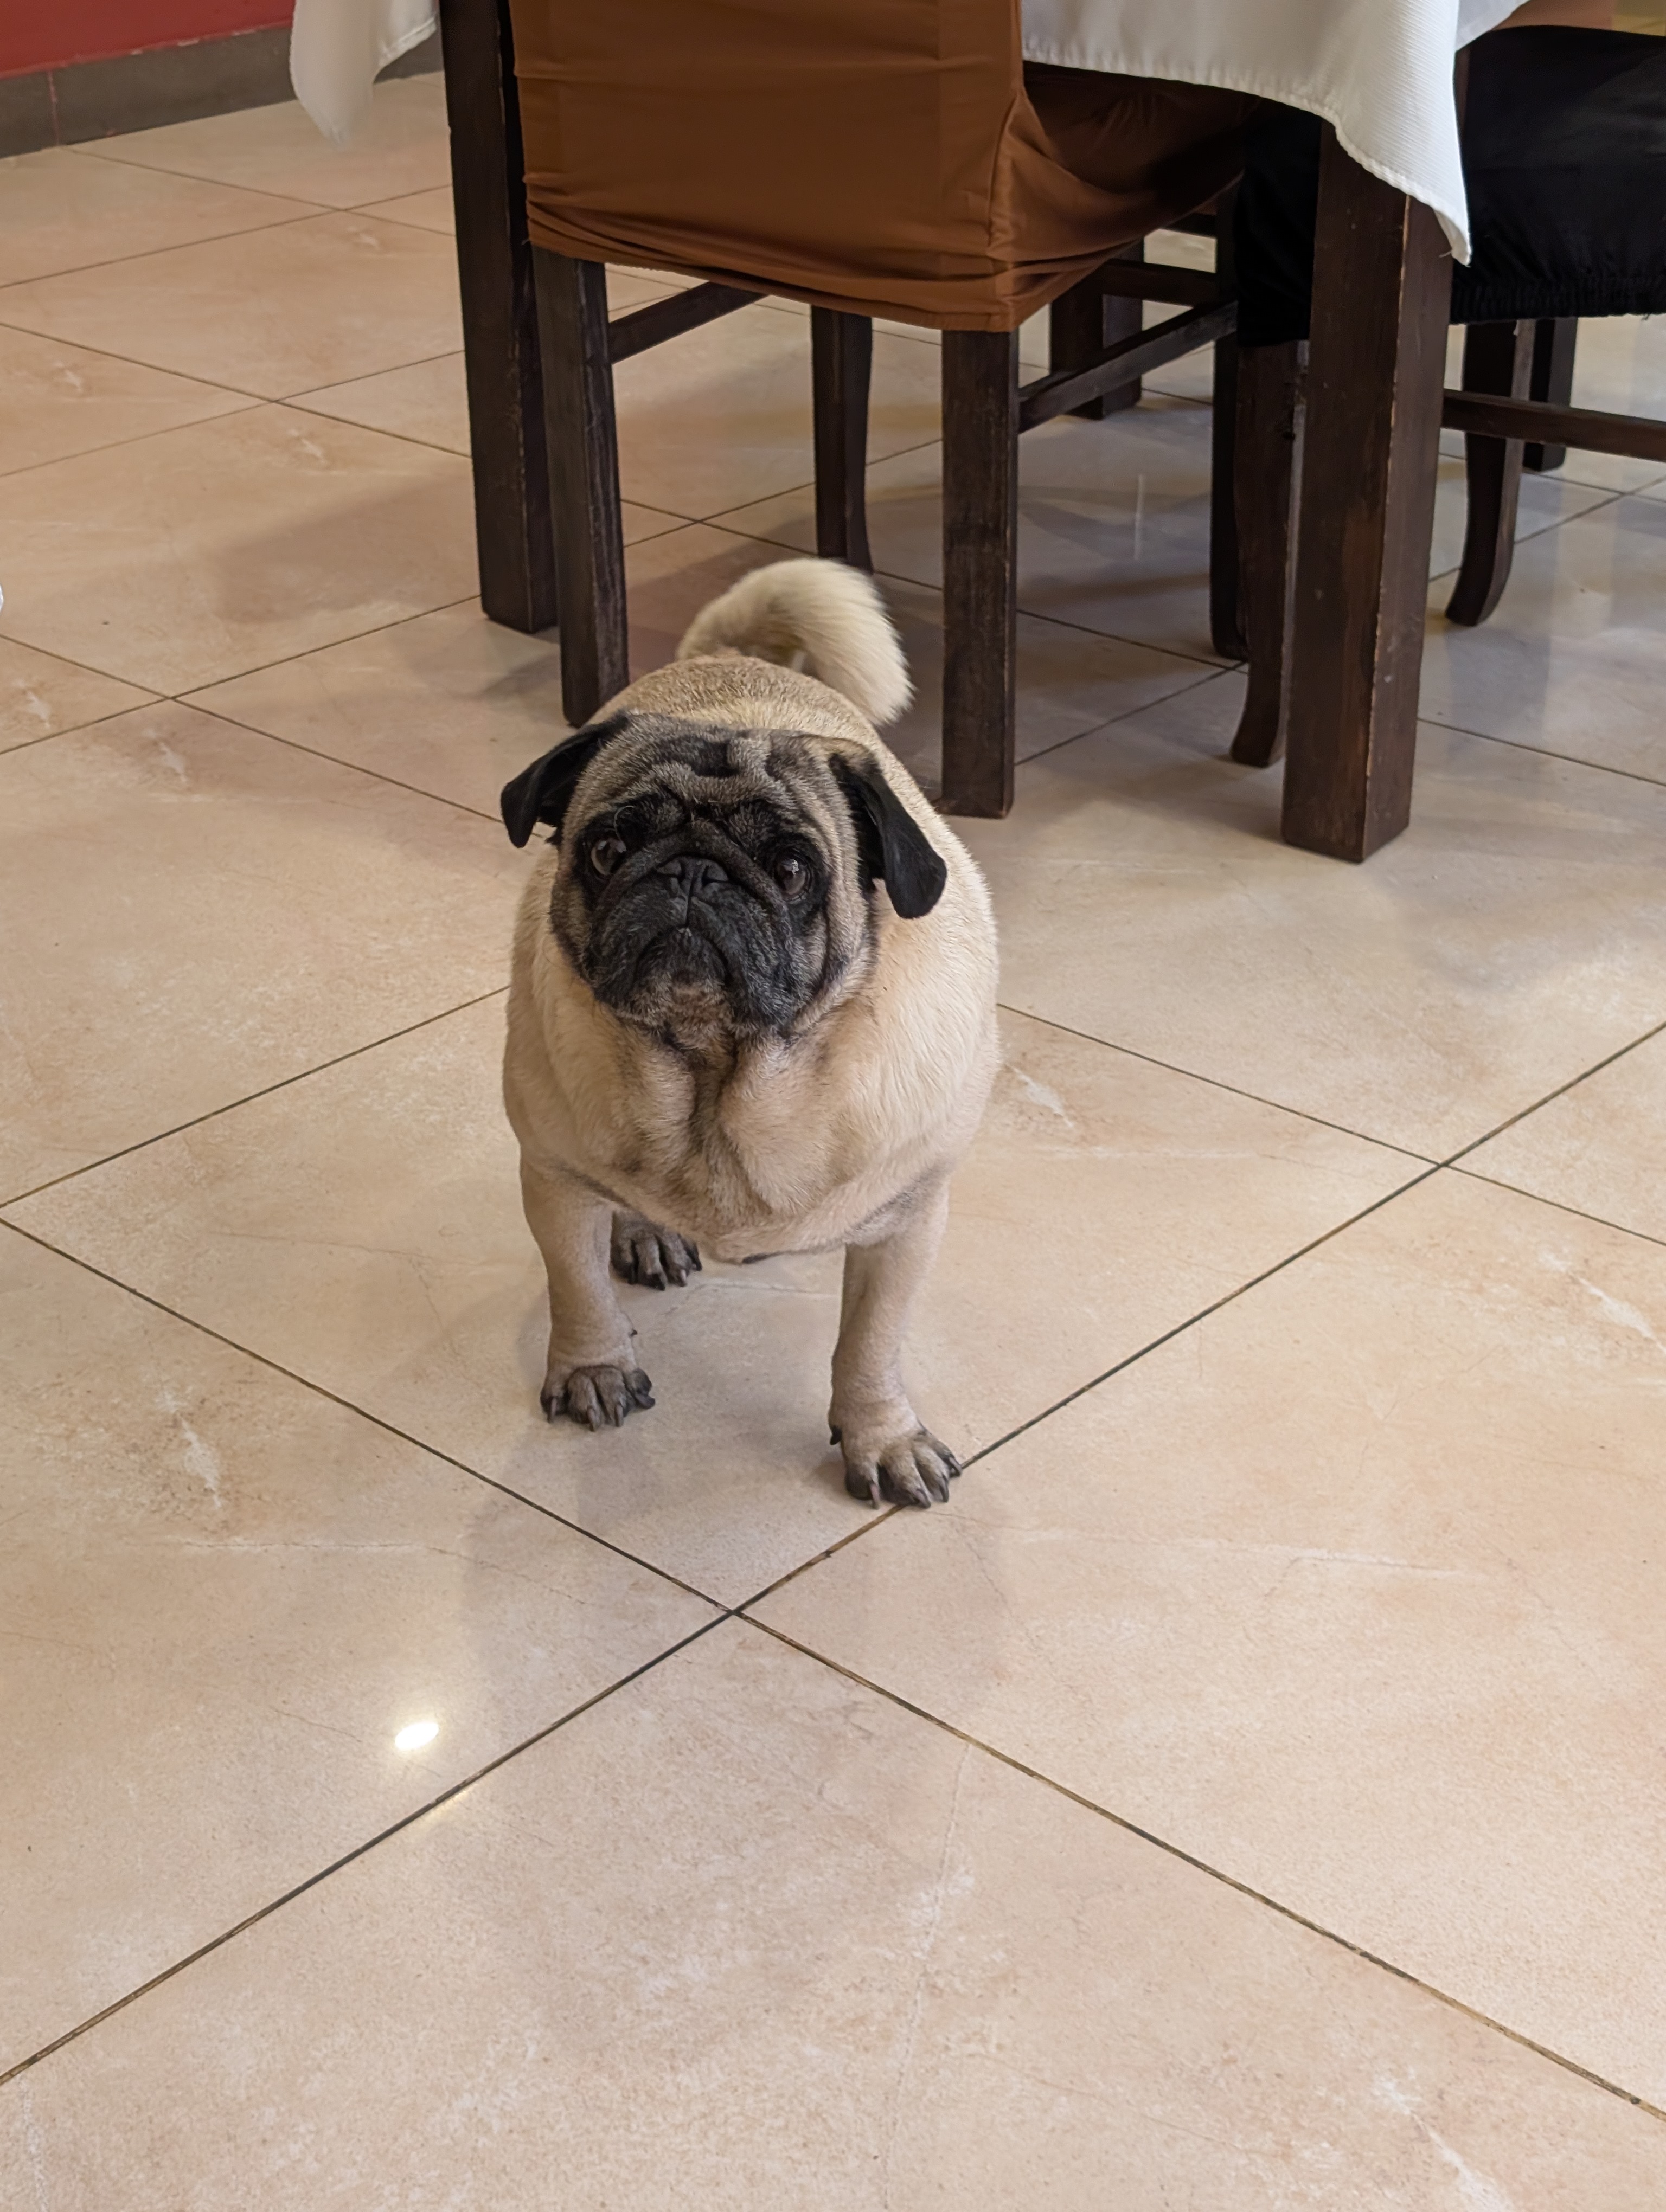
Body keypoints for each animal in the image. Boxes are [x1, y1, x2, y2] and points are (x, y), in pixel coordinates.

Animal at [499, 559, 998, 1507]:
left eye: (794, 869)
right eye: (608, 850)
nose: (694, 874)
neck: (714, 1073)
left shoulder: (907, 1225)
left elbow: (871, 1344)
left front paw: (882, 1438)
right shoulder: (551, 1177)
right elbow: (573, 1285)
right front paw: (593, 1367)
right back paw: (645, 1232)